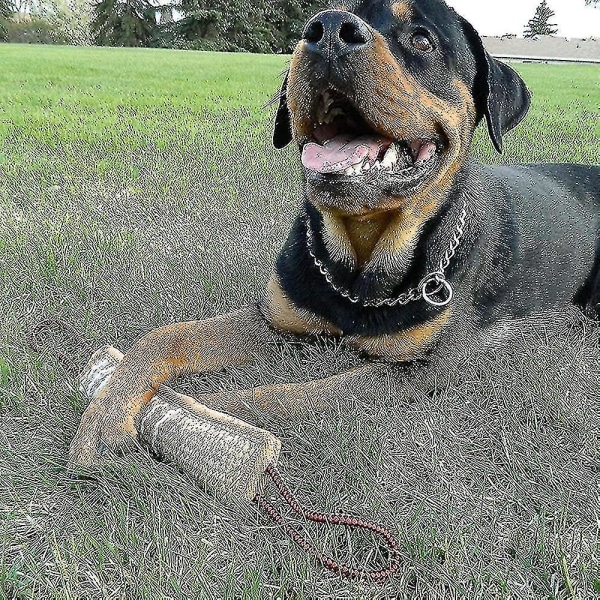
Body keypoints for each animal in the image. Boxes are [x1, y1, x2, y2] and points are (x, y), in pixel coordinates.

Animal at [70, 0, 600, 466]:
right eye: (319, 19)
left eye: (422, 38)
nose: (326, 31)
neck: (360, 261)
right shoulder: (276, 318)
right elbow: (166, 336)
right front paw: (107, 413)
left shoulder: (417, 371)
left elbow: (286, 396)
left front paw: (205, 414)